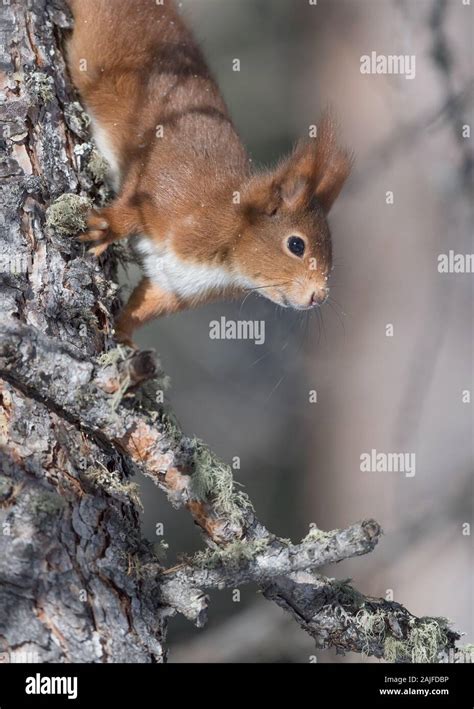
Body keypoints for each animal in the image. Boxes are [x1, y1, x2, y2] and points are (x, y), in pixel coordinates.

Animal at [65, 0, 352, 344]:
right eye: (296, 245)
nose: (318, 296)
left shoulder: (176, 285)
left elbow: (145, 306)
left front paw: (123, 339)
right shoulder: (164, 195)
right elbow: (132, 208)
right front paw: (103, 228)